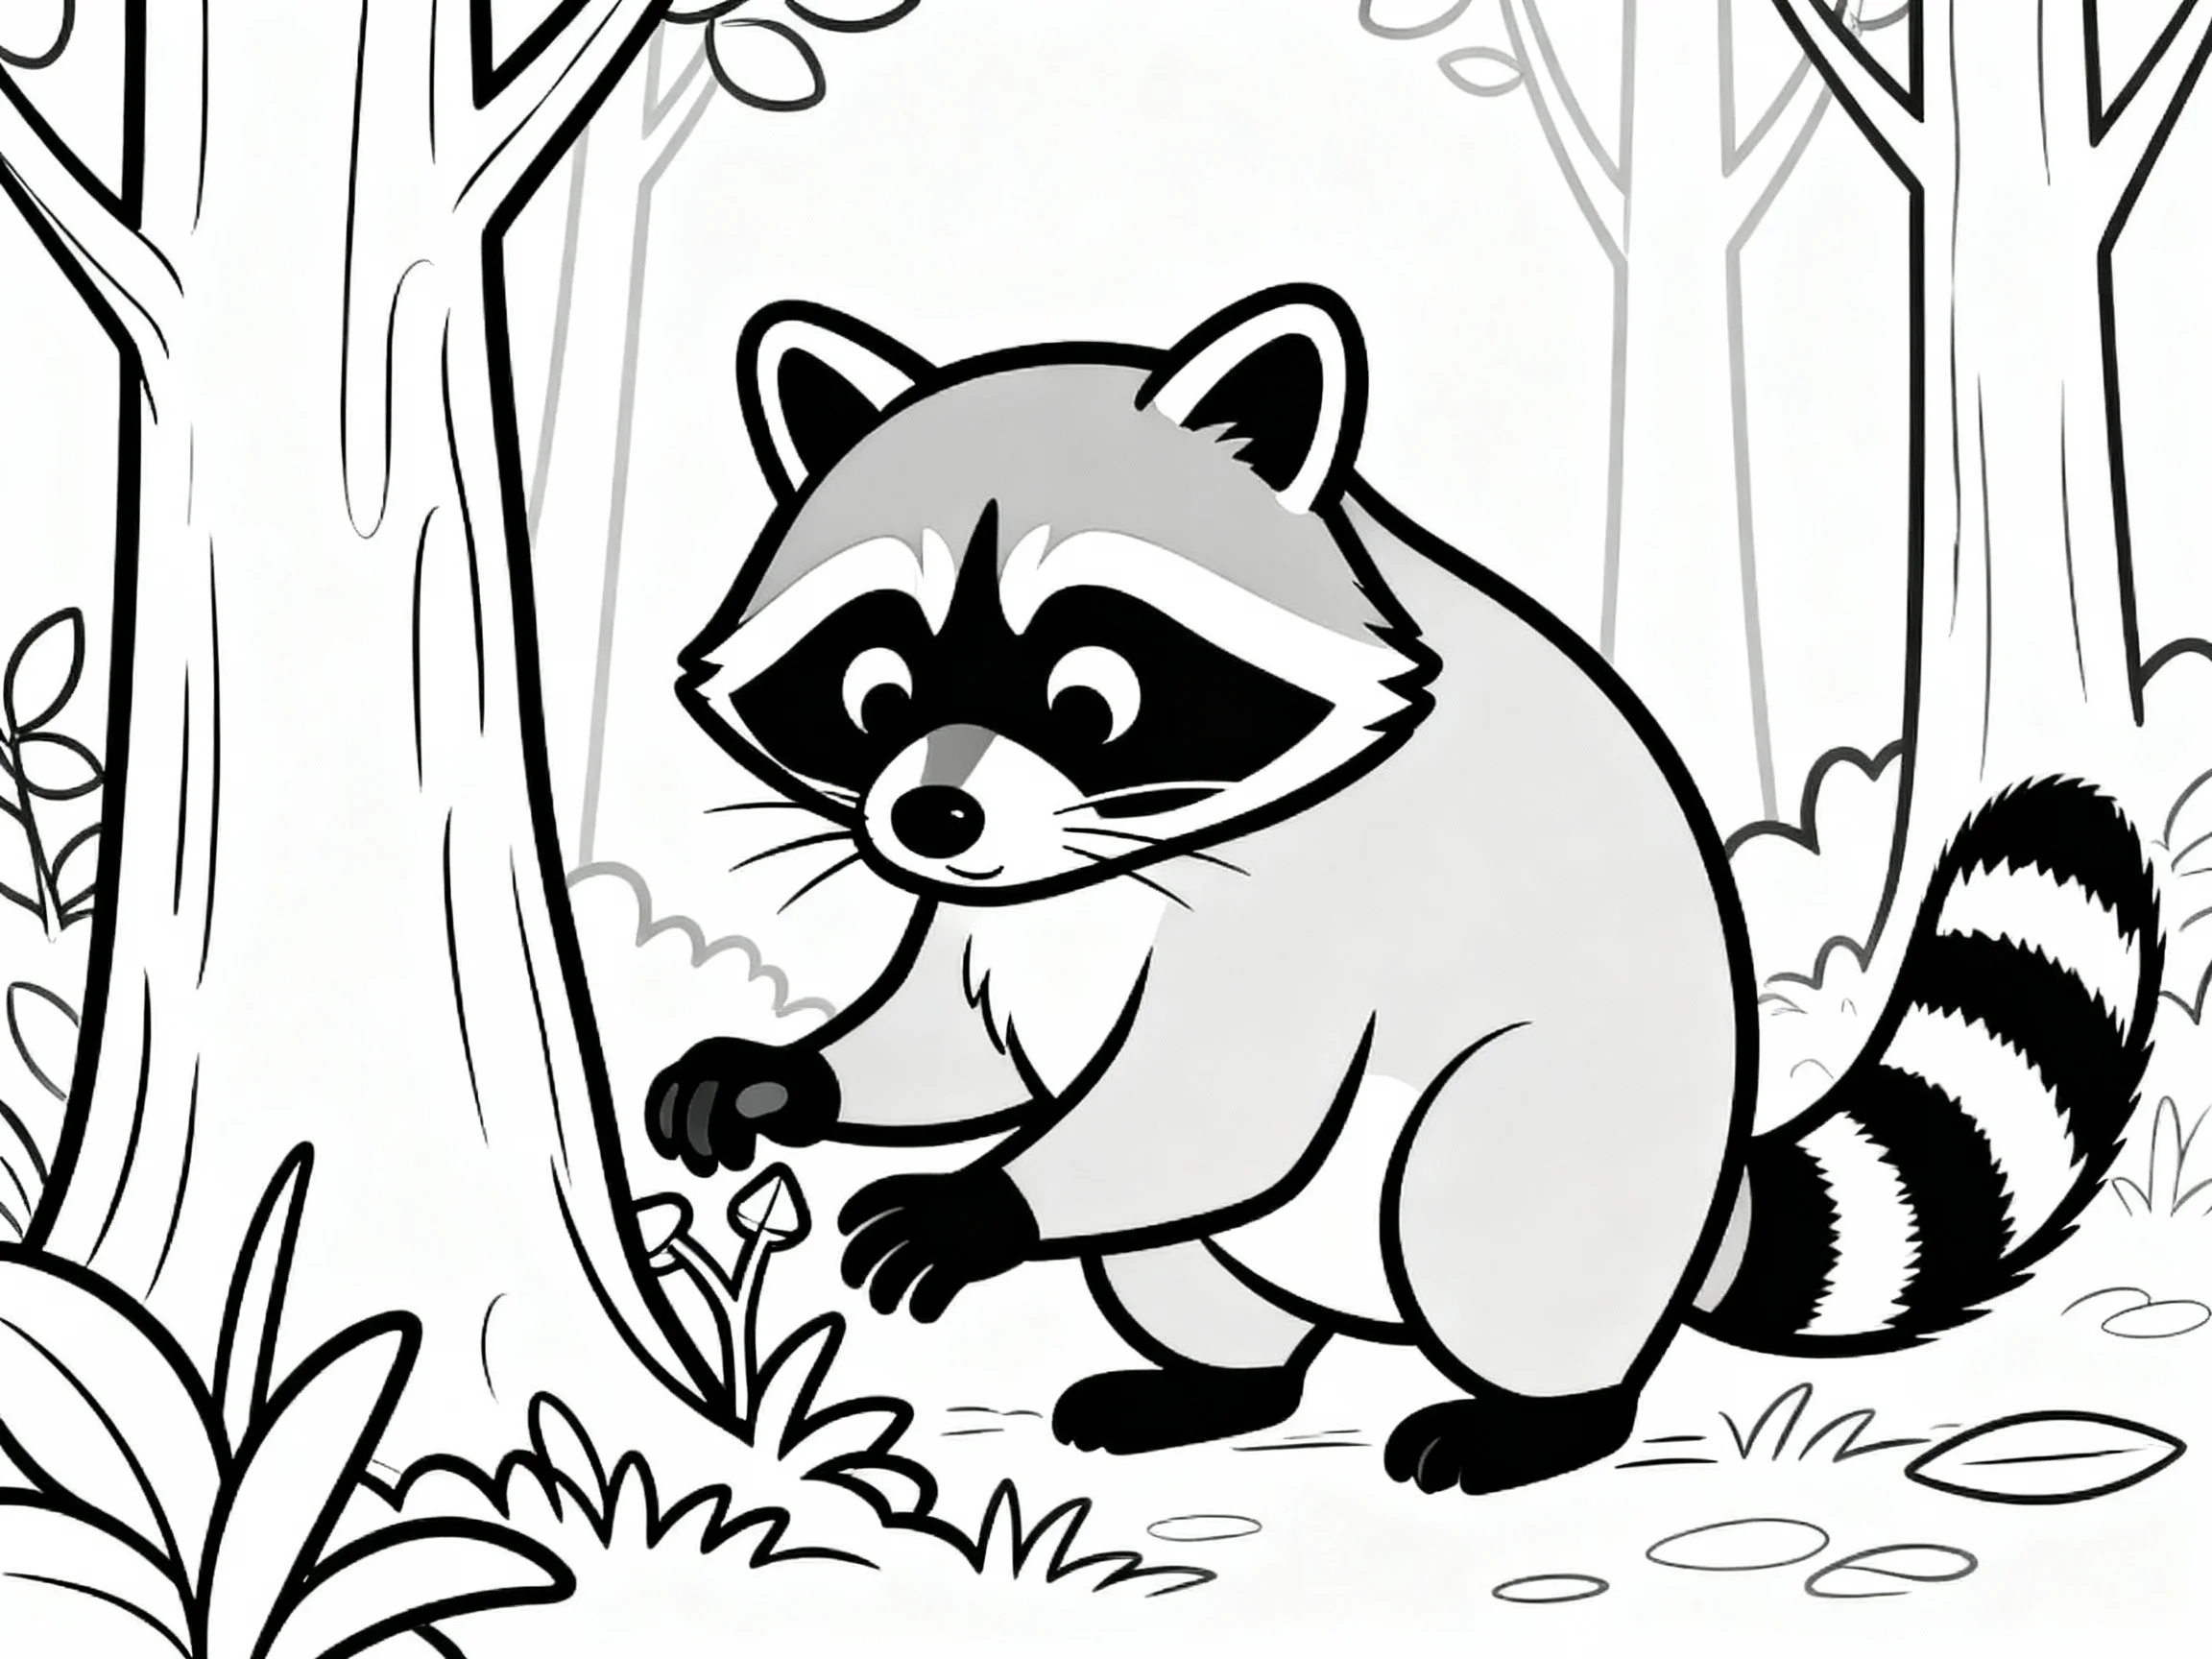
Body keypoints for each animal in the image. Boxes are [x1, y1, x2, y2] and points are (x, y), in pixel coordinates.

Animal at [647, 284, 2161, 1494]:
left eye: (1092, 696)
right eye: (874, 687)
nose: (932, 816)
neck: (1096, 862)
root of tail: (1706, 1193)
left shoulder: (1316, 896)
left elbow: (1210, 1108)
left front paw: (983, 1203)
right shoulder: (990, 918)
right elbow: (947, 1044)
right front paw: (786, 1074)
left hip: (1576, 1132)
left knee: (1482, 1204)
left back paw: (1545, 1416)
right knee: (1184, 1265)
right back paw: (1218, 1382)